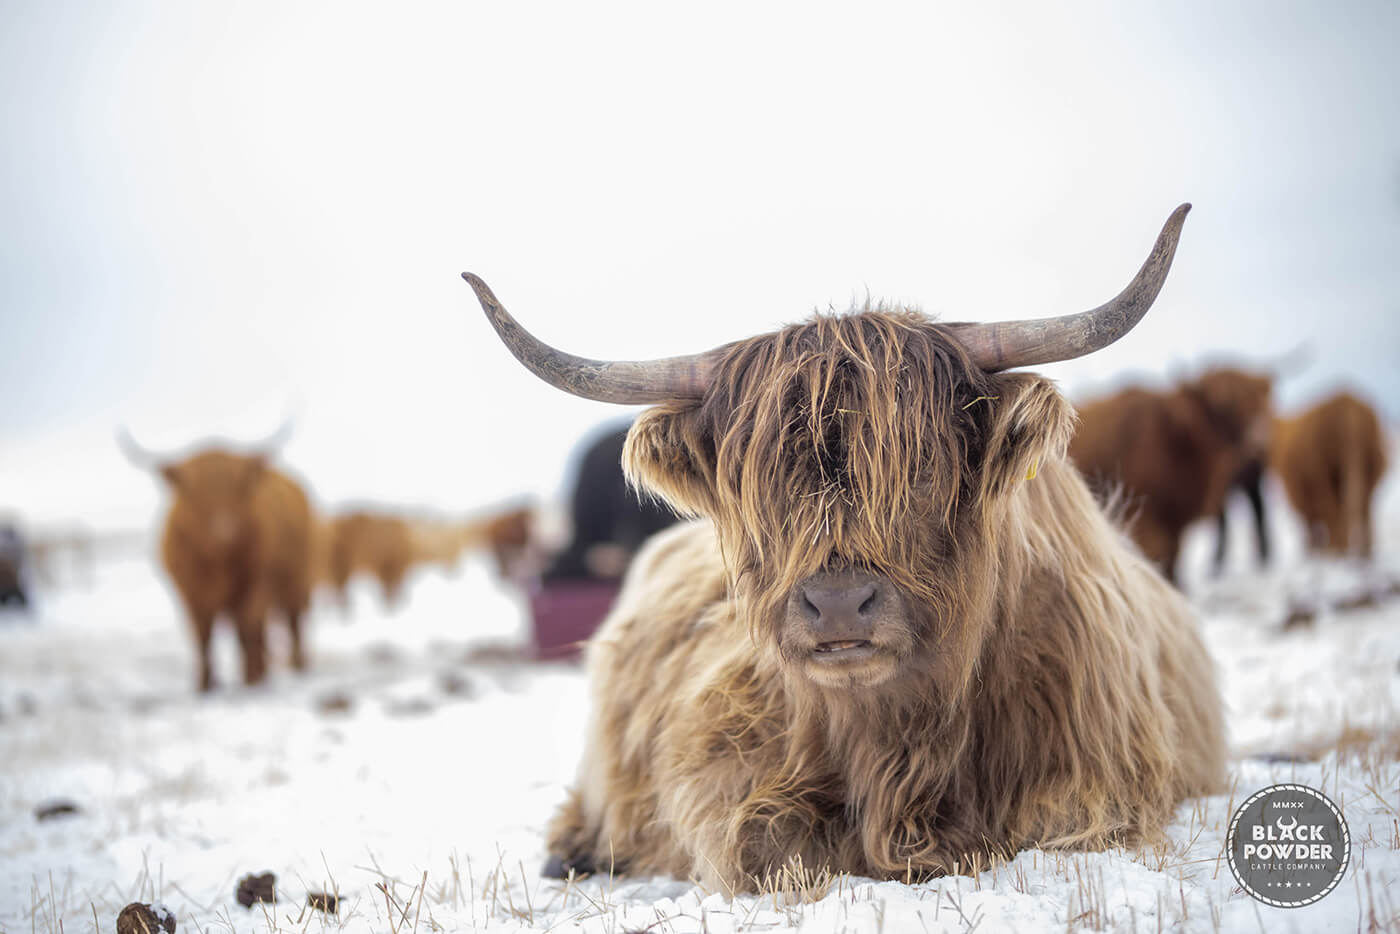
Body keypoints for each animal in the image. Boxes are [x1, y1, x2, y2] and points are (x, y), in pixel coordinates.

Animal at [121, 434, 316, 691]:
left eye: (239, 486)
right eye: (194, 491)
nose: (224, 530)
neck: (217, 561)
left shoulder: (256, 585)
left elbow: (246, 628)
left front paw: (250, 680)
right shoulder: (191, 595)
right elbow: (203, 636)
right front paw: (205, 686)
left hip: (295, 582)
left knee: (292, 624)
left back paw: (294, 668)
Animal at [1271, 392, 1388, 560]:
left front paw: (1316, 551)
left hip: (1322, 470)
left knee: (1333, 505)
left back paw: (1336, 551)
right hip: (1371, 460)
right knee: (1363, 503)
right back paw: (1362, 554)